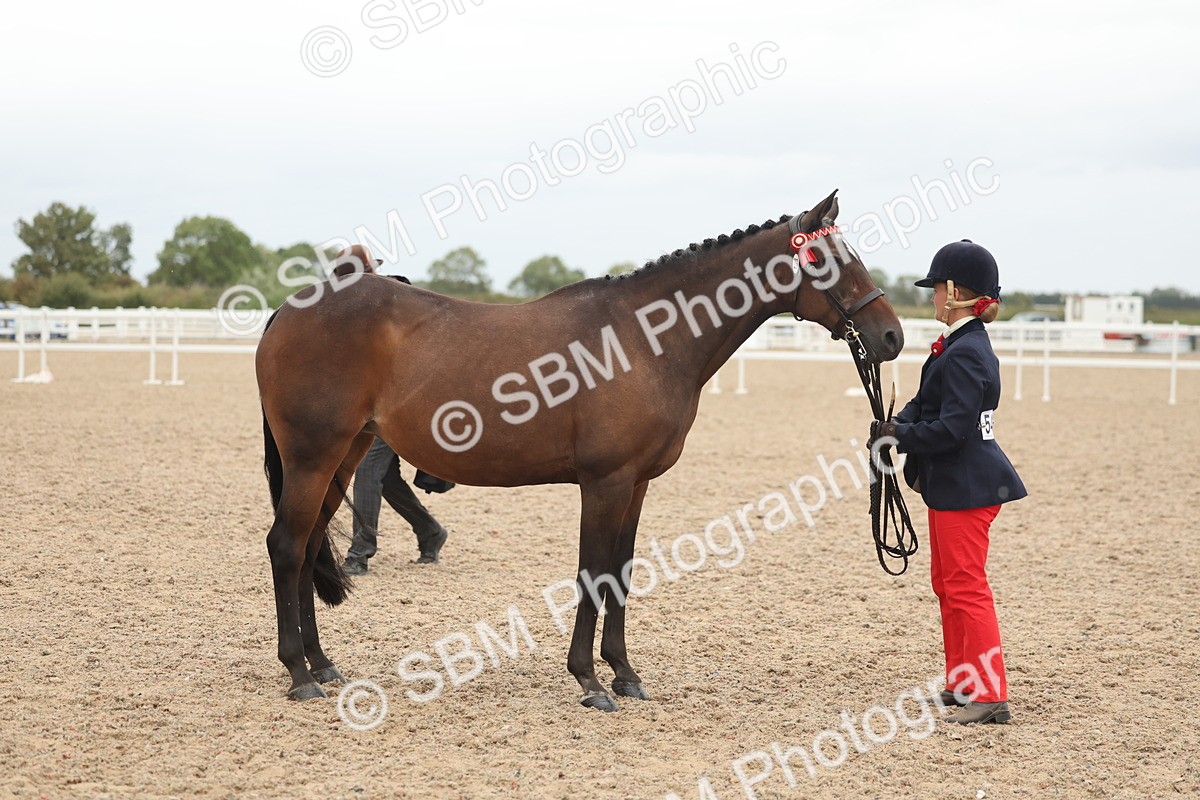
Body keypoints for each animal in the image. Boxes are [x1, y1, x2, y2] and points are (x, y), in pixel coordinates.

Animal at [256, 190, 904, 710]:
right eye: (822, 258)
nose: (891, 335)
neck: (645, 339)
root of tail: (290, 308)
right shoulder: (605, 481)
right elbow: (593, 572)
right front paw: (590, 681)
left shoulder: (636, 483)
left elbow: (620, 571)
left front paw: (624, 674)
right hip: (313, 457)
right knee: (287, 545)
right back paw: (298, 675)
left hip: (344, 455)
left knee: (310, 545)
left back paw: (322, 664)